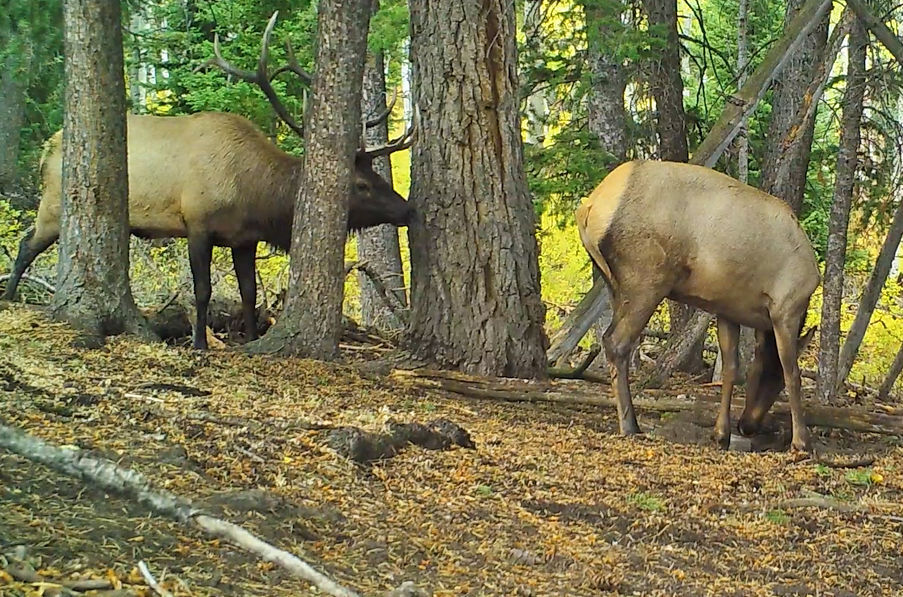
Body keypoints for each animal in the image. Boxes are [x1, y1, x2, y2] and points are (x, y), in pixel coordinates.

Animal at [2, 12, 415, 350]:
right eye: (361, 184)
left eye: (375, 175)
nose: (408, 209)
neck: (255, 196)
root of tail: (47, 148)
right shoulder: (197, 224)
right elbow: (202, 290)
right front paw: (201, 343)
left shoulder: (245, 239)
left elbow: (249, 292)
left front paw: (250, 338)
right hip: (54, 204)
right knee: (25, 245)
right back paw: (9, 296)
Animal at [576, 160, 820, 452]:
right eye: (772, 381)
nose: (747, 426)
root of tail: (589, 208)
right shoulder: (786, 307)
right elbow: (793, 370)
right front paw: (801, 441)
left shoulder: (728, 309)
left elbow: (729, 369)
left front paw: (721, 434)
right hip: (646, 278)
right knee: (616, 342)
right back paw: (630, 425)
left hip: (612, 283)